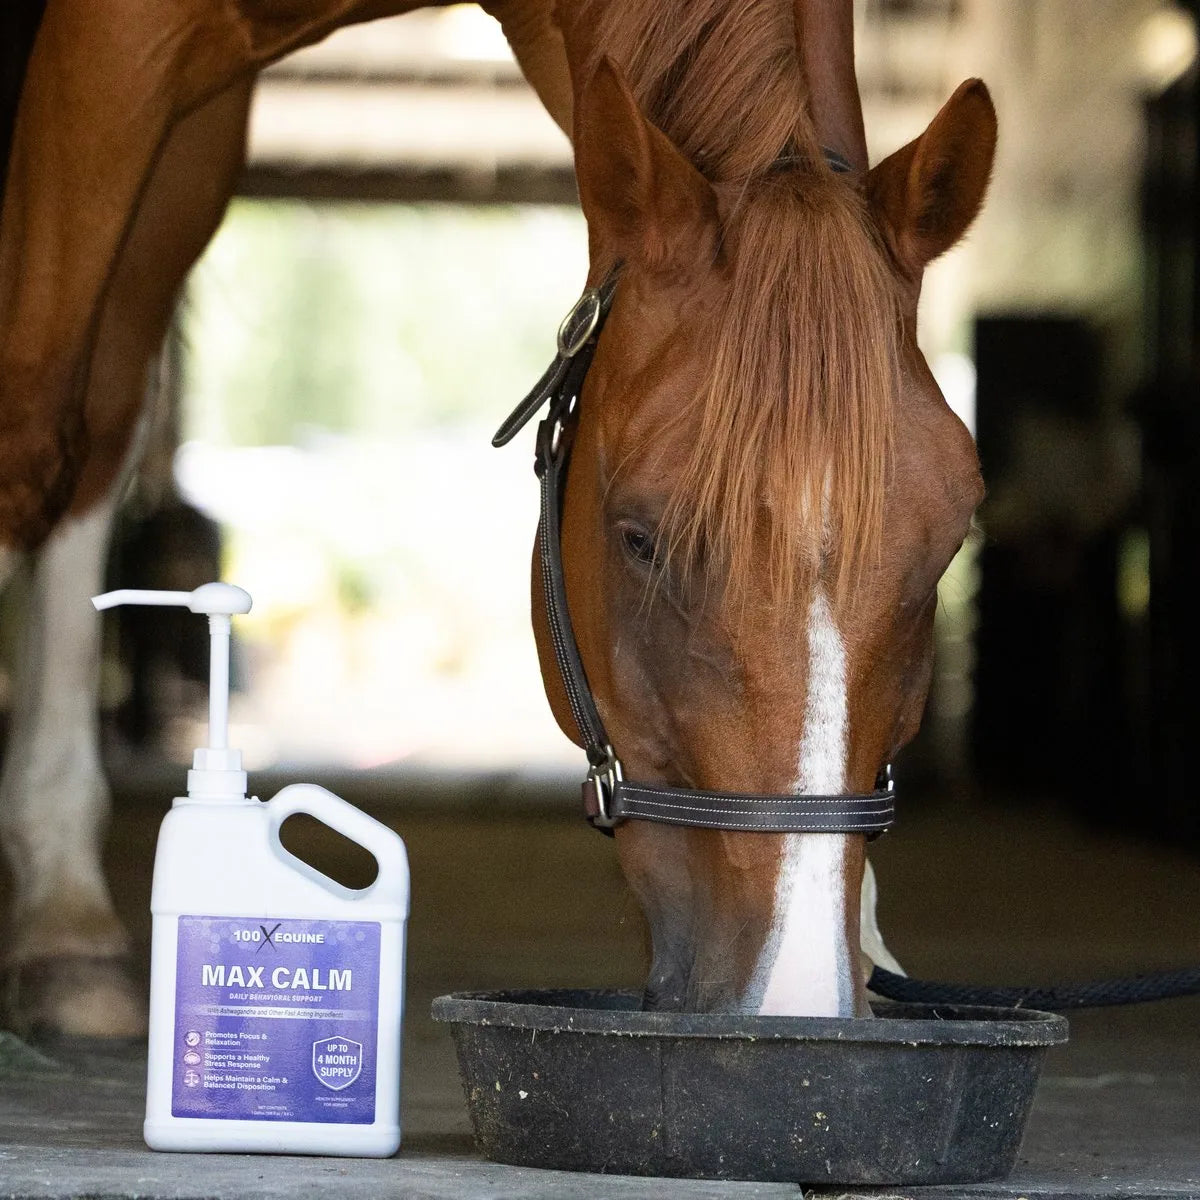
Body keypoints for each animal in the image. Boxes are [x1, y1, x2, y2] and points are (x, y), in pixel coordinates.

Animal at [0, 0, 994, 1037]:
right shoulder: (121, 44)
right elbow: (34, 411)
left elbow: (95, 414)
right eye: (640, 539)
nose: (791, 1000)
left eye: (946, 547)